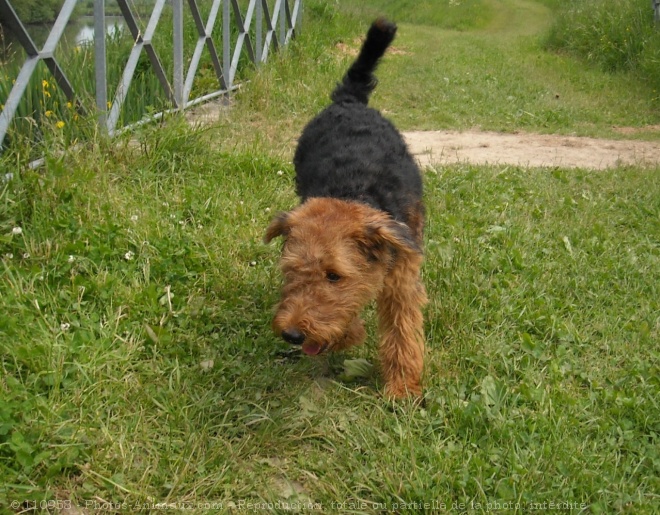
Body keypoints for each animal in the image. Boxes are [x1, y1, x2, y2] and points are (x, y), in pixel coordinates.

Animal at [266, 19, 426, 400]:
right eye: (291, 269)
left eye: (334, 275)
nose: (293, 335)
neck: (354, 192)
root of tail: (348, 100)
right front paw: (346, 335)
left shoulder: (402, 278)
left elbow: (402, 331)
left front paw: (402, 388)